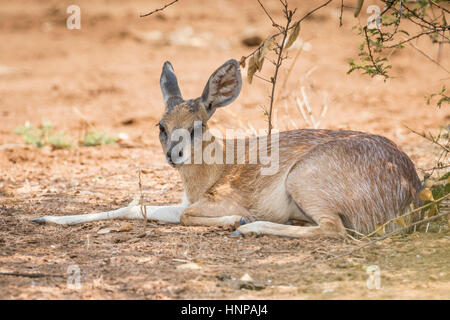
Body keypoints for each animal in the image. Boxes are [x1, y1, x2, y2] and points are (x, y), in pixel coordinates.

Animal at [33, 59, 424, 238]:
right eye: (161, 126)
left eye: (198, 125)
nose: (173, 155)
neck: (213, 172)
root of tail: (411, 192)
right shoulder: (183, 203)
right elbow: (135, 208)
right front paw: (44, 217)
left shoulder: (215, 202)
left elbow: (186, 216)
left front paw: (239, 219)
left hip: (304, 182)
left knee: (333, 229)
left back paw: (250, 227)